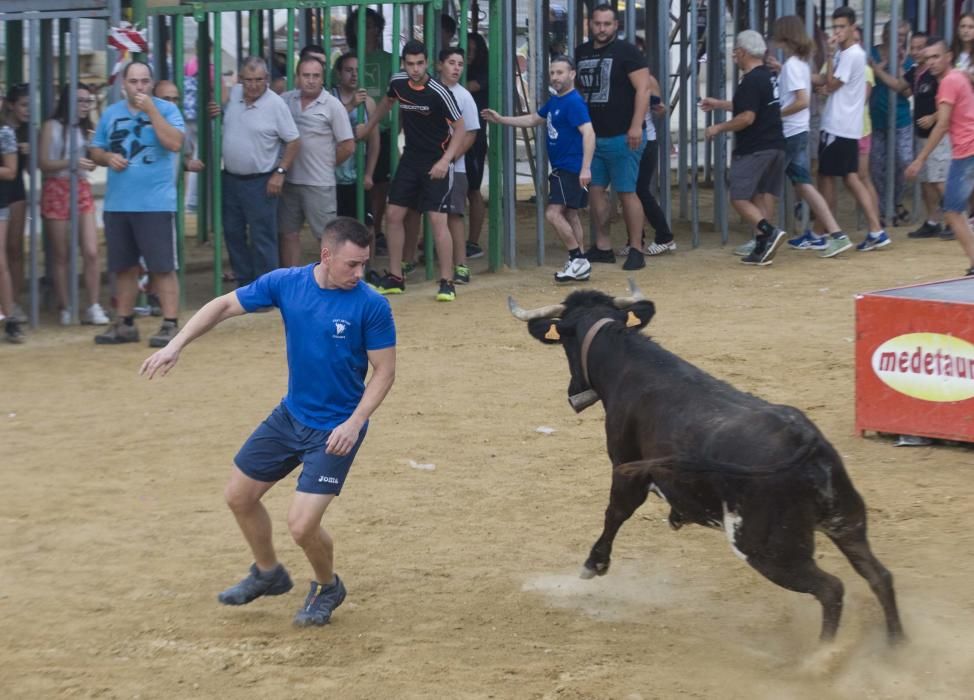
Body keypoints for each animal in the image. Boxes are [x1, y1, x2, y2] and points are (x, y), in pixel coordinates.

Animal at [510, 282, 908, 644]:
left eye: (565, 342)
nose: (574, 393)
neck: (630, 365)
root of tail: (805, 441)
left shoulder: (625, 466)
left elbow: (616, 512)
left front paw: (594, 565)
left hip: (767, 550)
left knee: (832, 589)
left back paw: (823, 657)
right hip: (847, 522)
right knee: (879, 575)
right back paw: (894, 645)